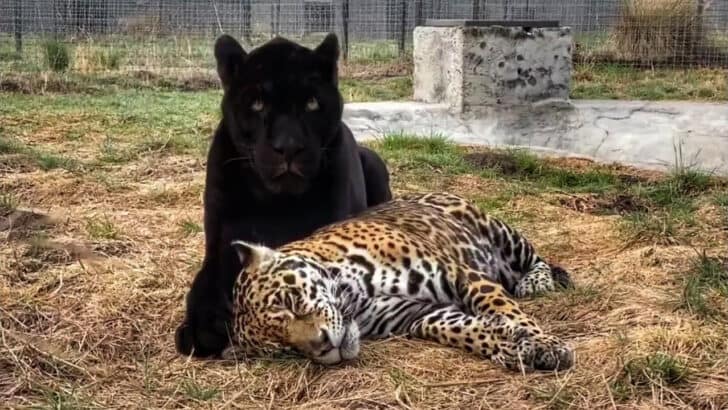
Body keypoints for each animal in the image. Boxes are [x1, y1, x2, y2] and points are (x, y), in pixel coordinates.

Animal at [222, 192, 575, 372]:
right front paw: (510, 346)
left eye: (291, 303)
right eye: (286, 349)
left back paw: (536, 281)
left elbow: (503, 308)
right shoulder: (418, 315)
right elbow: (465, 330)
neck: (353, 295)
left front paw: (543, 344)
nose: (323, 346)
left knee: (536, 258)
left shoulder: (458, 274)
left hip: (499, 232)